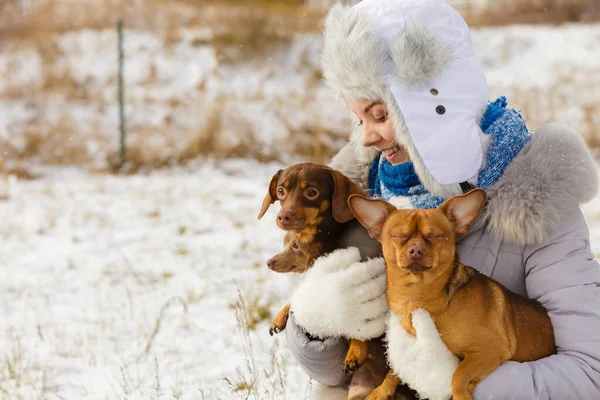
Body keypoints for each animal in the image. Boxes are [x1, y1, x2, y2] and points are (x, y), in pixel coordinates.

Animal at [350, 190, 556, 400]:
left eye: (436, 236)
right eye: (399, 236)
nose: (416, 250)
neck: (418, 295)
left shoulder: (490, 350)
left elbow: (457, 376)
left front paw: (461, 395)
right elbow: (397, 368)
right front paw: (382, 390)